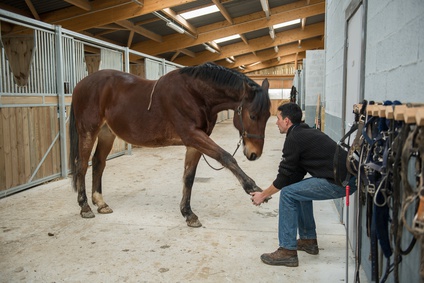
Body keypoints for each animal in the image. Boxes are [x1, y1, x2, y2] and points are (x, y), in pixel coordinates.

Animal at [68, 62, 270, 229]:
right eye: (252, 115)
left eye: (268, 115)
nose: (255, 153)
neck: (194, 93)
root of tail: (80, 85)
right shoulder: (193, 135)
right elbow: (226, 157)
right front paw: (253, 188)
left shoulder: (195, 142)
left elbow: (189, 177)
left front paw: (188, 214)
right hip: (88, 132)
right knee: (82, 165)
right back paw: (85, 207)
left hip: (106, 133)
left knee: (98, 162)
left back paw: (101, 203)